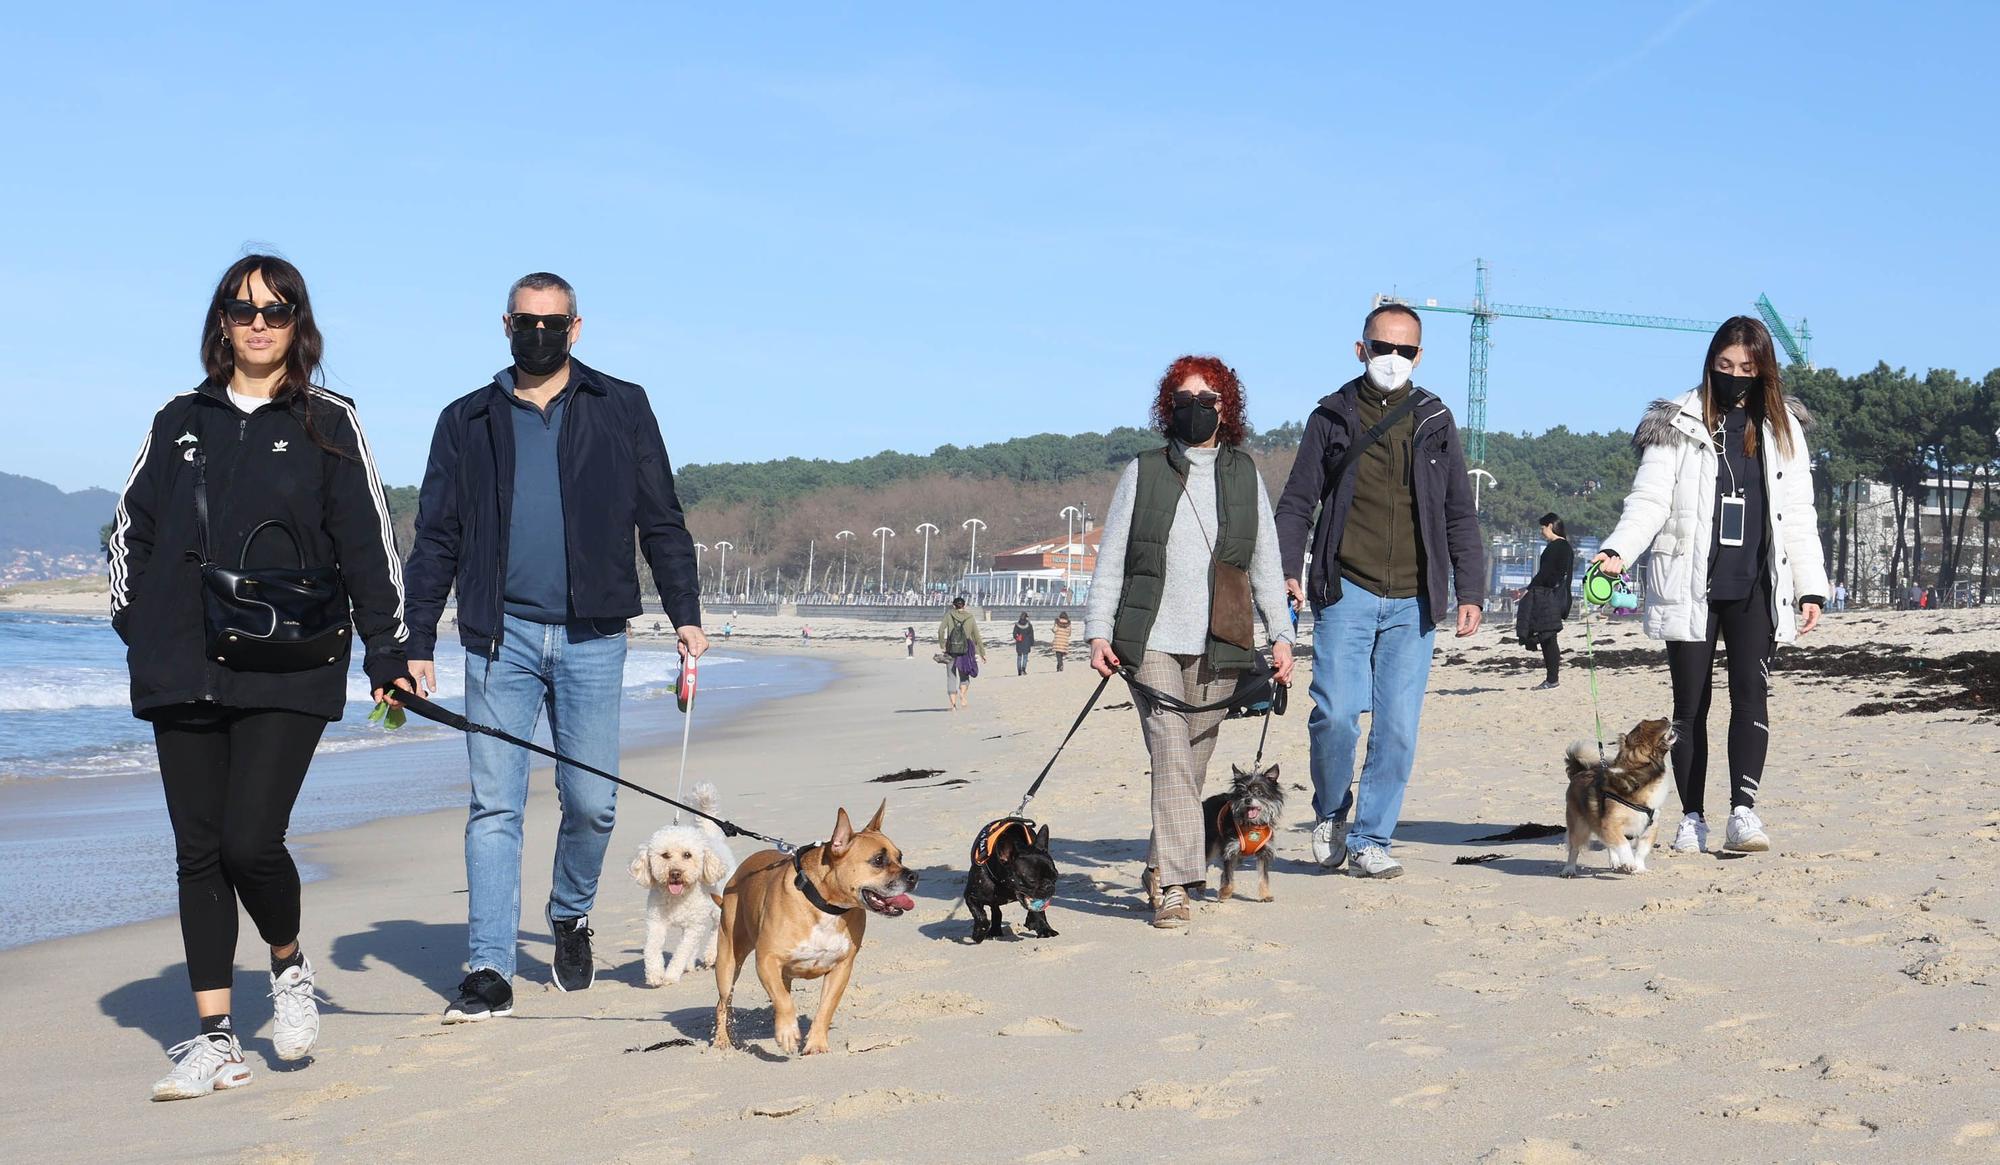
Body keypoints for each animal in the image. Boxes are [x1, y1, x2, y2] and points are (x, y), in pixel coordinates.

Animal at [712, 804, 916, 1056]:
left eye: (900, 857)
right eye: (878, 860)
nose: (914, 876)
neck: (825, 905)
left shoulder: (841, 968)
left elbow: (825, 1008)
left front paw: (816, 1043)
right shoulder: (766, 960)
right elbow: (783, 1001)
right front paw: (788, 1032)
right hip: (728, 963)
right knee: (723, 1002)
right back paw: (722, 1040)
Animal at [1552, 716, 1680, 880]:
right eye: (1648, 723)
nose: (1666, 717)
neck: (1640, 777)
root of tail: (1579, 771)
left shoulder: (1651, 827)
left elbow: (1641, 851)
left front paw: (1639, 868)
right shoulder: (1610, 823)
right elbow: (1623, 844)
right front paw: (1629, 862)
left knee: (1608, 845)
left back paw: (1615, 861)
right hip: (1579, 826)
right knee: (1574, 848)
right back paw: (1569, 869)